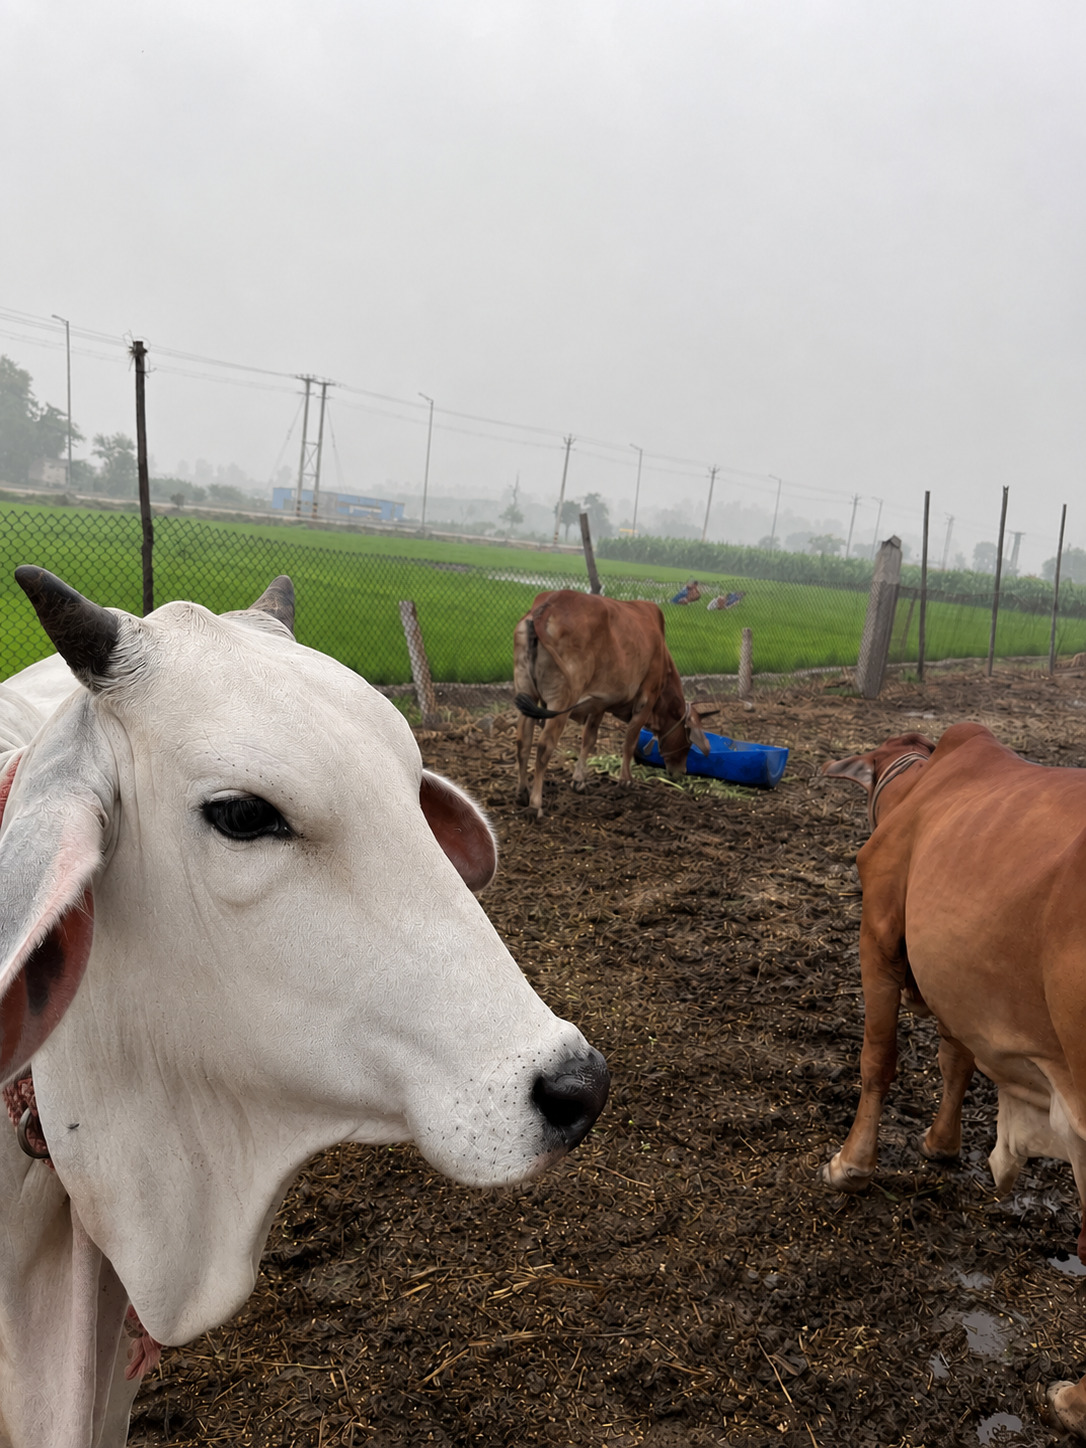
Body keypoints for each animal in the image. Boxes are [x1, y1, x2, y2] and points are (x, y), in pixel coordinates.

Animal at [512, 589, 711, 820]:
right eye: (688, 742)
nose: (682, 771)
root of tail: (546, 607)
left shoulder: (599, 703)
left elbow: (589, 739)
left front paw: (579, 781)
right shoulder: (646, 699)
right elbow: (629, 741)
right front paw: (626, 780)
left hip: (527, 693)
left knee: (523, 741)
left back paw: (522, 792)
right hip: (560, 700)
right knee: (544, 747)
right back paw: (535, 803)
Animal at [821, 722, 1086, 1438]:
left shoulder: (879, 934)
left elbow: (878, 1057)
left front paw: (852, 1164)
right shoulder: (957, 981)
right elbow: (956, 1060)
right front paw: (941, 1145)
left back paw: (1074, 1401)